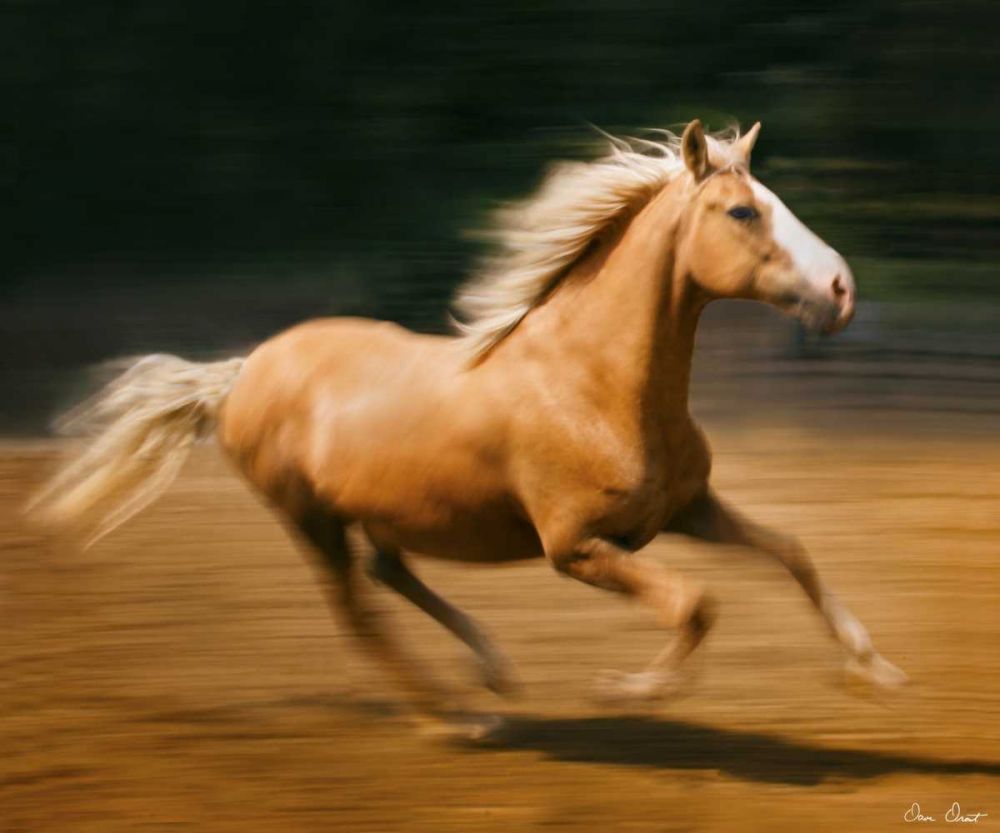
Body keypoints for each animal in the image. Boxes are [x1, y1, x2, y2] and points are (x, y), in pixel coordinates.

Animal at [32, 119, 907, 739]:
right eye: (742, 210)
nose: (842, 289)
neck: (593, 385)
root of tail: (242, 371)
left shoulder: (686, 508)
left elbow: (790, 553)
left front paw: (876, 670)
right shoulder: (577, 547)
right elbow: (697, 604)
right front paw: (626, 691)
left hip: (381, 511)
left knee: (390, 574)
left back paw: (490, 671)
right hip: (308, 518)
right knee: (361, 615)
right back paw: (457, 716)